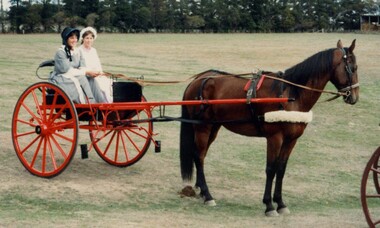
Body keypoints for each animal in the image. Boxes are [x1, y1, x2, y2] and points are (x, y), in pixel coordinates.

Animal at [180, 40, 358, 216]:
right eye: (353, 67)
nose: (355, 97)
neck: (290, 95)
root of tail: (198, 79)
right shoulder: (275, 137)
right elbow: (271, 169)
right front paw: (269, 205)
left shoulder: (291, 140)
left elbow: (281, 169)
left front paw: (280, 203)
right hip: (203, 127)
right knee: (199, 156)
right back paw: (208, 195)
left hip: (213, 127)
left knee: (200, 155)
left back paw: (201, 190)